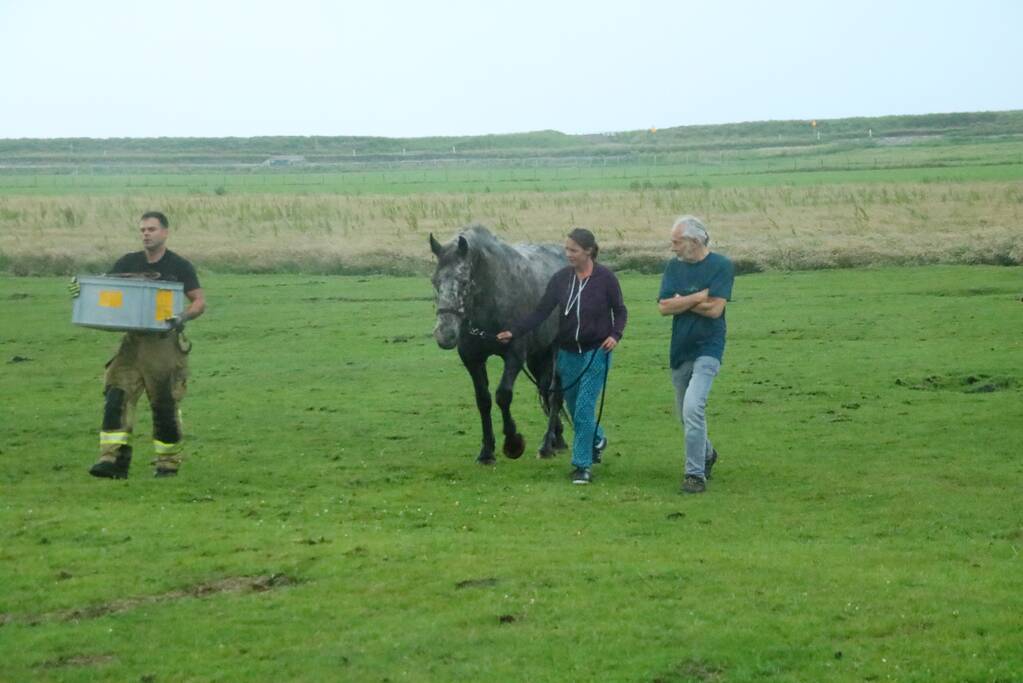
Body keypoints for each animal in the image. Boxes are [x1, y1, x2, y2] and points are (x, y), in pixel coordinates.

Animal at [429, 223, 568, 464]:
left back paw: (546, 446)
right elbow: (483, 400)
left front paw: (513, 442)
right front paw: (486, 452)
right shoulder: (473, 359)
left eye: (463, 281)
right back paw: (556, 440)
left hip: (556, 350)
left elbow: (503, 395)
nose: (445, 334)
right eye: (435, 281)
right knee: (545, 391)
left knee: (554, 393)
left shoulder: (515, 354)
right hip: (538, 355)